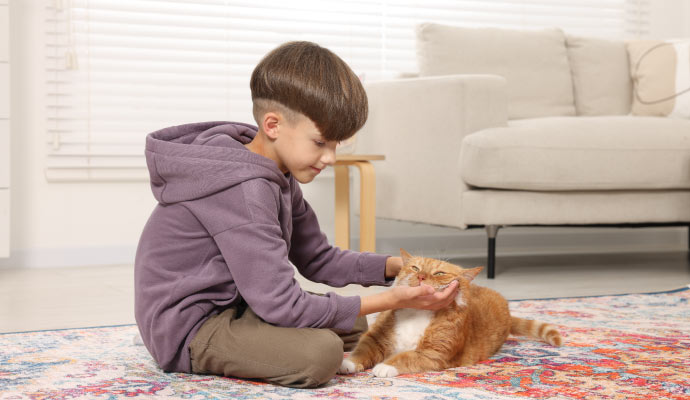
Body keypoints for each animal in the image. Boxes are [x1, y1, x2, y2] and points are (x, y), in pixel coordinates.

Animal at [338, 250, 560, 378]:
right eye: (415, 268)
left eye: (439, 273)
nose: (421, 276)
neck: (417, 312)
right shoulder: (374, 338)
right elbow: (362, 350)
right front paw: (348, 362)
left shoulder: (433, 353)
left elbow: (405, 357)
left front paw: (384, 366)